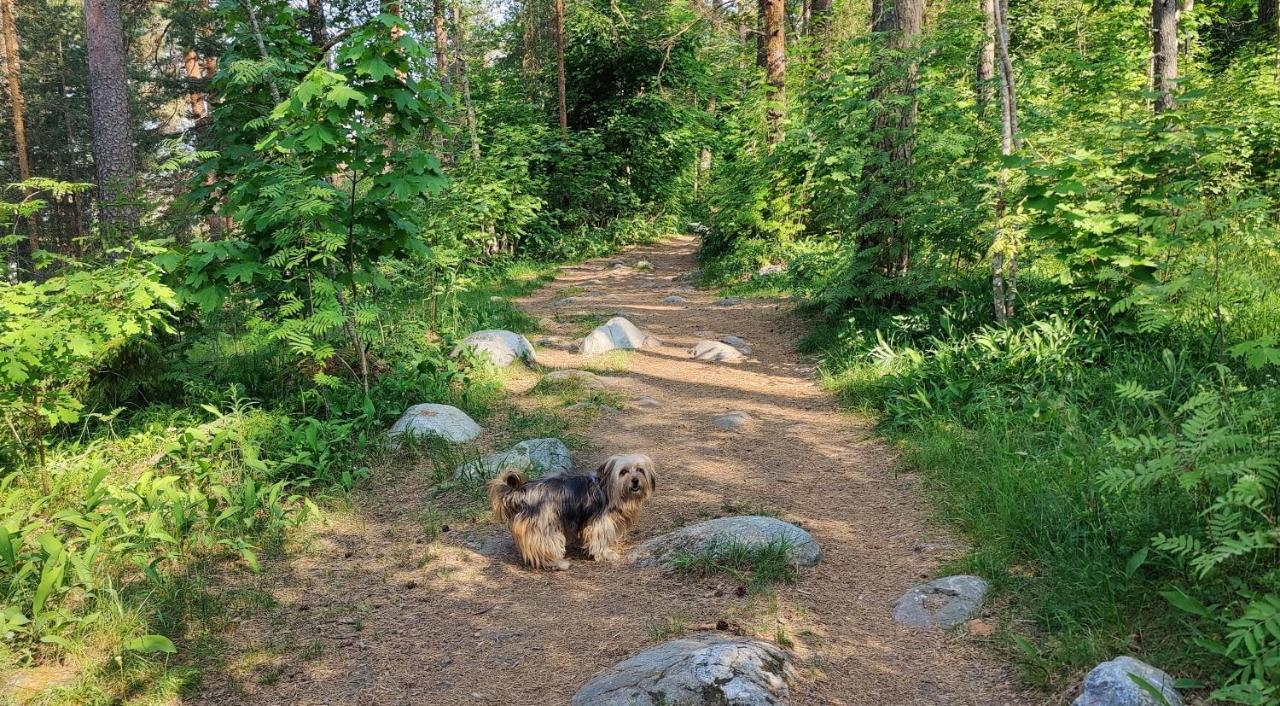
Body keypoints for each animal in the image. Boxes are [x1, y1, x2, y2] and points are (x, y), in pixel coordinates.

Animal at [483, 455, 655, 570]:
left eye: (640, 470)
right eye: (623, 472)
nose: (635, 480)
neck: (609, 489)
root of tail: (520, 492)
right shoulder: (599, 522)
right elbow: (599, 539)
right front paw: (606, 554)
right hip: (545, 525)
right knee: (546, 546)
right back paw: (558, 563)